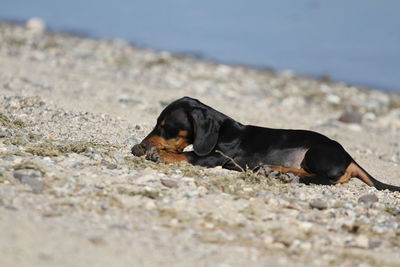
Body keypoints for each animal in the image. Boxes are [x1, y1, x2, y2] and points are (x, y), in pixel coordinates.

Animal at [132, 97, 400, 192]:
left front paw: (159, 154)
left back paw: (281, 174)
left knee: (323, 178)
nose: (140, 146)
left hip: (316, 152)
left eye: (165, 126)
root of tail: (350, 158)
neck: (223, 131)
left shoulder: (217, 158)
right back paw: (274, 171)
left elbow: (188, 155)